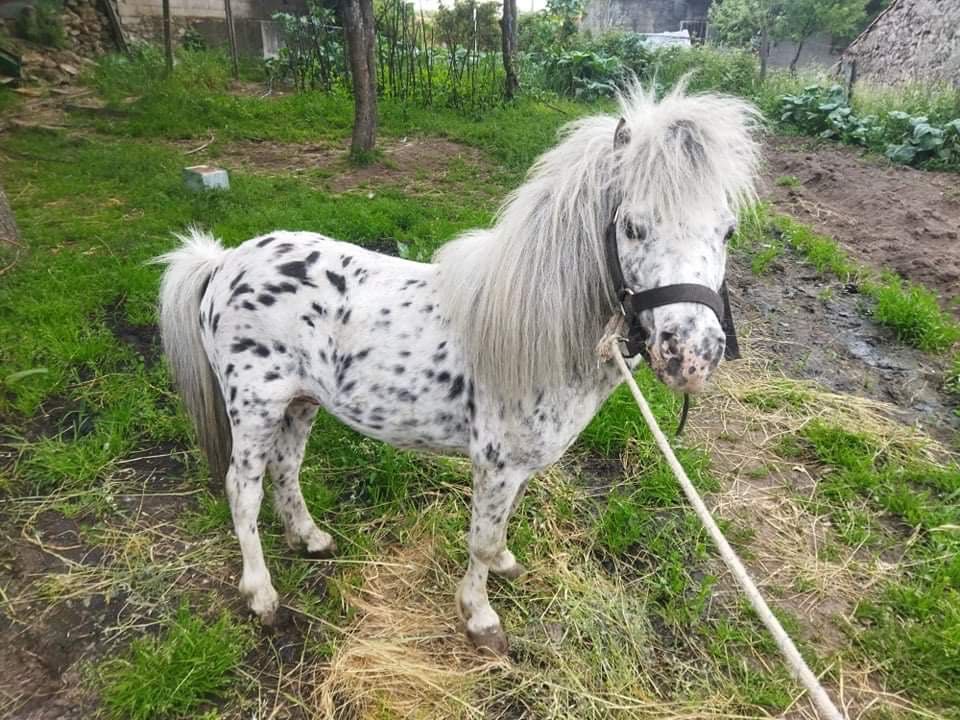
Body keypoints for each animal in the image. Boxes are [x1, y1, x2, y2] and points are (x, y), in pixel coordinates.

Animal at [156, 84, 756, 652]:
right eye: (632, 228)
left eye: (727, 232)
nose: (692, 354)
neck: (530, 330)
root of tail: (225, 263)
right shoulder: (494, 462)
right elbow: (481, 542)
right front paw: (481, 619)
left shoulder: (517, 467)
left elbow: (499, 530)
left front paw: (506, 566)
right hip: (254, 409)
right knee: (243, 489)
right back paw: (261, 596)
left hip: (301, 403)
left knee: (286, 468)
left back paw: (312, 539)